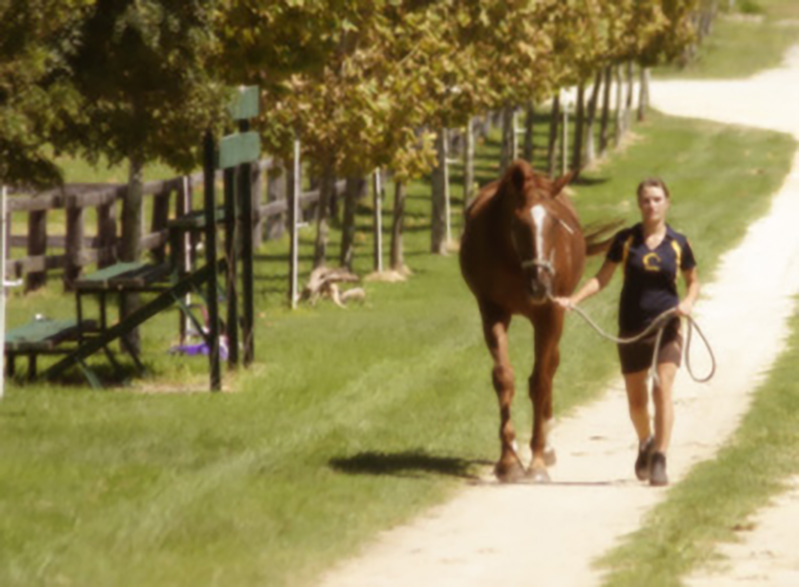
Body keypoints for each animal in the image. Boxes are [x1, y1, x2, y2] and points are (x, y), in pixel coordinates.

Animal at [462, 160, 608, 482]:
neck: (512, 260)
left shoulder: (549, 315)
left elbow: (540, 380)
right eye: (518, 224)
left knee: (551, 367)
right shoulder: (492, 312)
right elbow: (504, 377)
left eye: (554, 223)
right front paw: (508, 461)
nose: (541, 285)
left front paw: (538, 461)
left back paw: (548, 447)